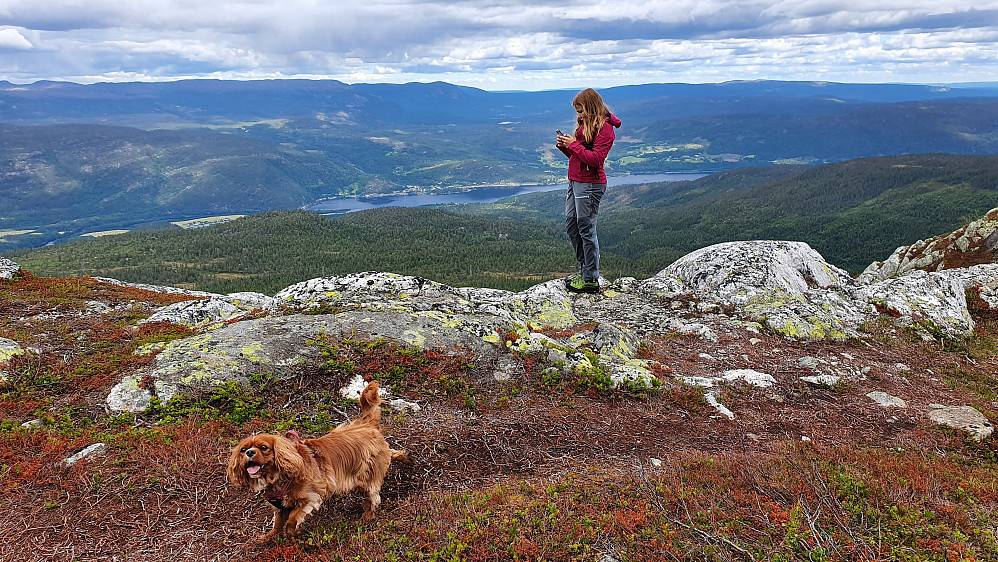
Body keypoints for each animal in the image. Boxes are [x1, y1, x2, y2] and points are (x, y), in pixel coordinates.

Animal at [229, 380, 408, 540]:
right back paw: (405, 458)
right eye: (243, 450)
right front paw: (270, 537)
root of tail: (367, 425)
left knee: (373, 498)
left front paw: (293, 534)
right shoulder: (280, 507)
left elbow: (292, 519)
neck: (280, 477)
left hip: (369, 478)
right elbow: (278, 522)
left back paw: (367, 517)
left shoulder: (310, 497)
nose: (249, 453)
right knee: (391, 453)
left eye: (264, 447)